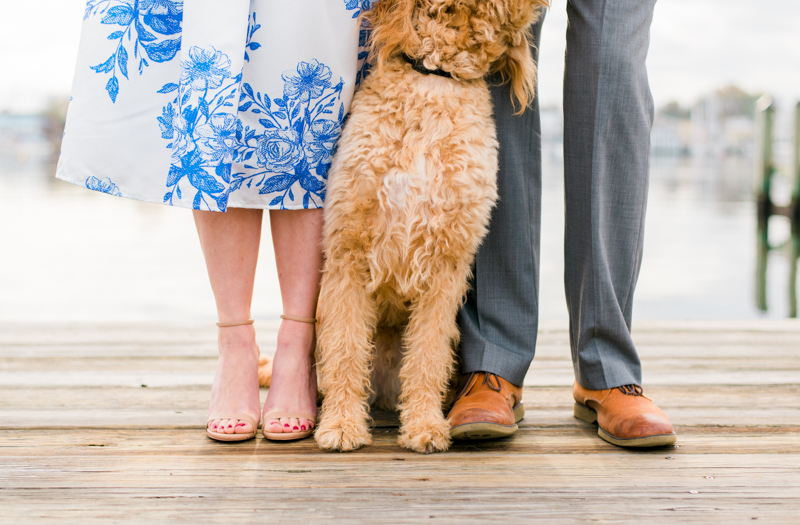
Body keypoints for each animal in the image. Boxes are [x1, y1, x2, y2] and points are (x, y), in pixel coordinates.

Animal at [316, 0, 548, 452]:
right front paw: (341, 423)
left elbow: (428, 352)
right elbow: (345, 347)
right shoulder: (348, 252)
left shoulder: (447, 263)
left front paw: (424, 424)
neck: (436, 78)